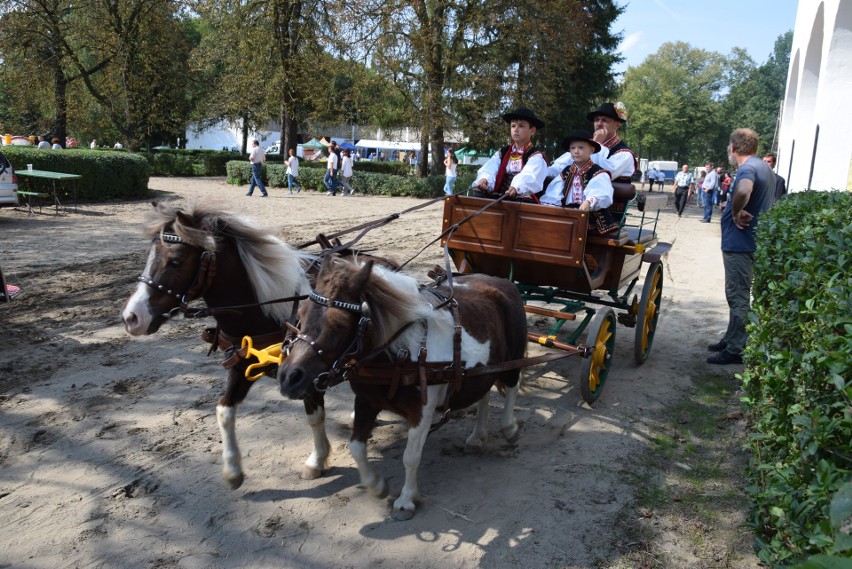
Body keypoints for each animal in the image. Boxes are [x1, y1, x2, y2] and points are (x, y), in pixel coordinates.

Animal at [121, 201, 332, 488]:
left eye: (175, 261)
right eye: (147, 256)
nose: (131, 317)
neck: (272, 311)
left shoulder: (309, 374)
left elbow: (314, 416)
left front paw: (317, 459)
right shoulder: (241, 365)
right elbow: (224, 410)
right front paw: (232, 470)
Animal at [280, 256, 524, 520]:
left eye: (338, 323)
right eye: (301, 313)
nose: (288, 377)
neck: (402, 354)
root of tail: (502, 282)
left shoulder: (421, 410)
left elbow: (411, 456)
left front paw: (406, 499)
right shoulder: (367, 401)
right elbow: (356, 446)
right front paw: (376, 485)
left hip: (512, 361)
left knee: (513, 386)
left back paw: (509, 428)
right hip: (483, 370)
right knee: (483, 396)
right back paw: (477, 437)